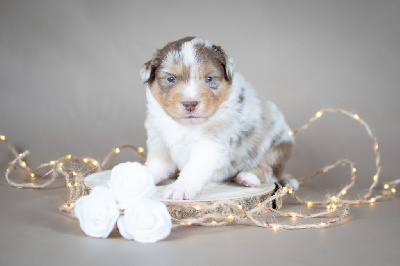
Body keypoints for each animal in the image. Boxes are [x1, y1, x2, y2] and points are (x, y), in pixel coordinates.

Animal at [141, 37, 294, 200]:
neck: (187, 126)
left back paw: (248, 177)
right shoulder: (159, 139)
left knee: (269, 168)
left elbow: (194, 166)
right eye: (171, 79)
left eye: (209, 79)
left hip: (280, 146)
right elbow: (156, 164)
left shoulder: (211, 143)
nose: (190, 104)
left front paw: (180, 188)